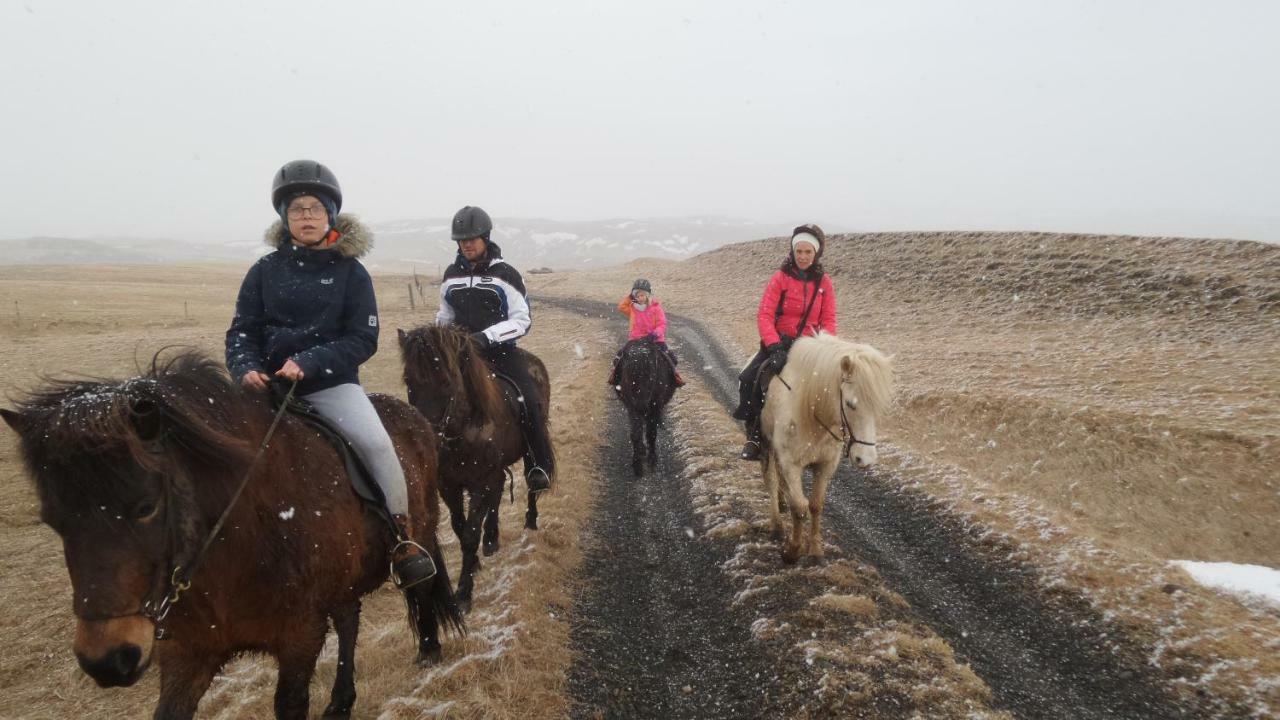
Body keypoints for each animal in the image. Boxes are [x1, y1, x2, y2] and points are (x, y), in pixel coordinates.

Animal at [0, 351, 460, 717]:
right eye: (52, 520)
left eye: (146, 507)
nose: (107, 660)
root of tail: (415, 417)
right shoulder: (187, 653)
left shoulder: (300, 637)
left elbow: (290, 703)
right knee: (349, 618)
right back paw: (341, 701)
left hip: (420, 532)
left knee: (420, 586)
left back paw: (429, 650)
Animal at [399, 325, 550, 609]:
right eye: (409, 383)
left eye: (447, 383)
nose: (425, 441)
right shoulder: (449, 486)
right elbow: (460, 528)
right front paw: (476, 563)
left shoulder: (480, 481)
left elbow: (469, 534)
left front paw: (464, 592)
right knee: (499, 490)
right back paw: (491, 538)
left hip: (527, 451)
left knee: (531, 479)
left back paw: (530, 520)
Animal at [611, 338, 680, 476]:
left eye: (651, 377)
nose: (641, 405)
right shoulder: (650, 407)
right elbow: (648, 432)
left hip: (636, 407)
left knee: (638, 430)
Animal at [752, 330, 896, 561]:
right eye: (850, 404)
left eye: (877, 407)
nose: (865, 459)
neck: (812, 411)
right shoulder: (791, 464)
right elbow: (799, 507)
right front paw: (792, 551)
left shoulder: (825, 466)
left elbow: (816, 505)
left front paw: (815, 549)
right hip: (765, 445)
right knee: (771, 482)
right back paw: (776, 524)